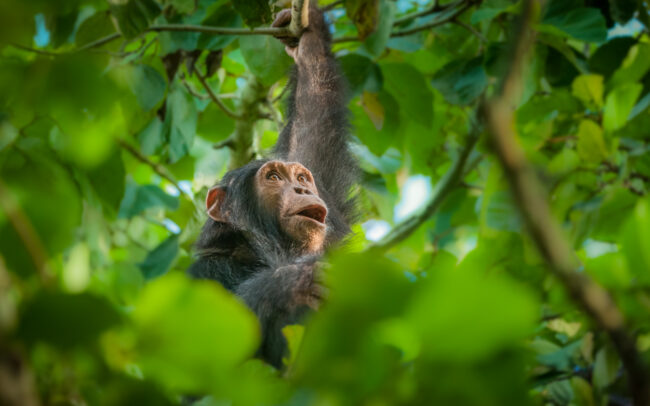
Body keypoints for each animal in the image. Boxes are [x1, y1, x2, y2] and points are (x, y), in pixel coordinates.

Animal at [188, 4, 357, 369]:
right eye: (274, 178)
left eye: (302, 178)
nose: (303, 190)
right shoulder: (202, 274)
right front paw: (292, 282)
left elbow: (315, 125)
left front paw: (306, 36)